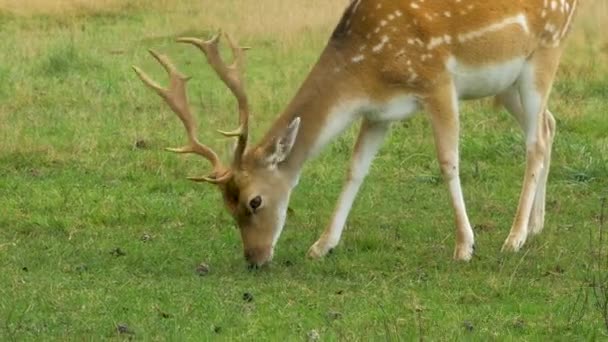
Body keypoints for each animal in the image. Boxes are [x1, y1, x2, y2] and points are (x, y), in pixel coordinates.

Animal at [133, 0, 580, 268]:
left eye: (254, 201)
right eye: (226, 207)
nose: (255, 259)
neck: (366, 68)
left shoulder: (437, 81)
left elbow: (448, 162)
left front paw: (464, 246)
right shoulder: (378, 112)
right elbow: (354, 171)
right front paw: (321, 245)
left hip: (546, 51)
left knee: (535, 141)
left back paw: (514, 237)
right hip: (506, 84)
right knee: (549, 125)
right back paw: (536, 226)